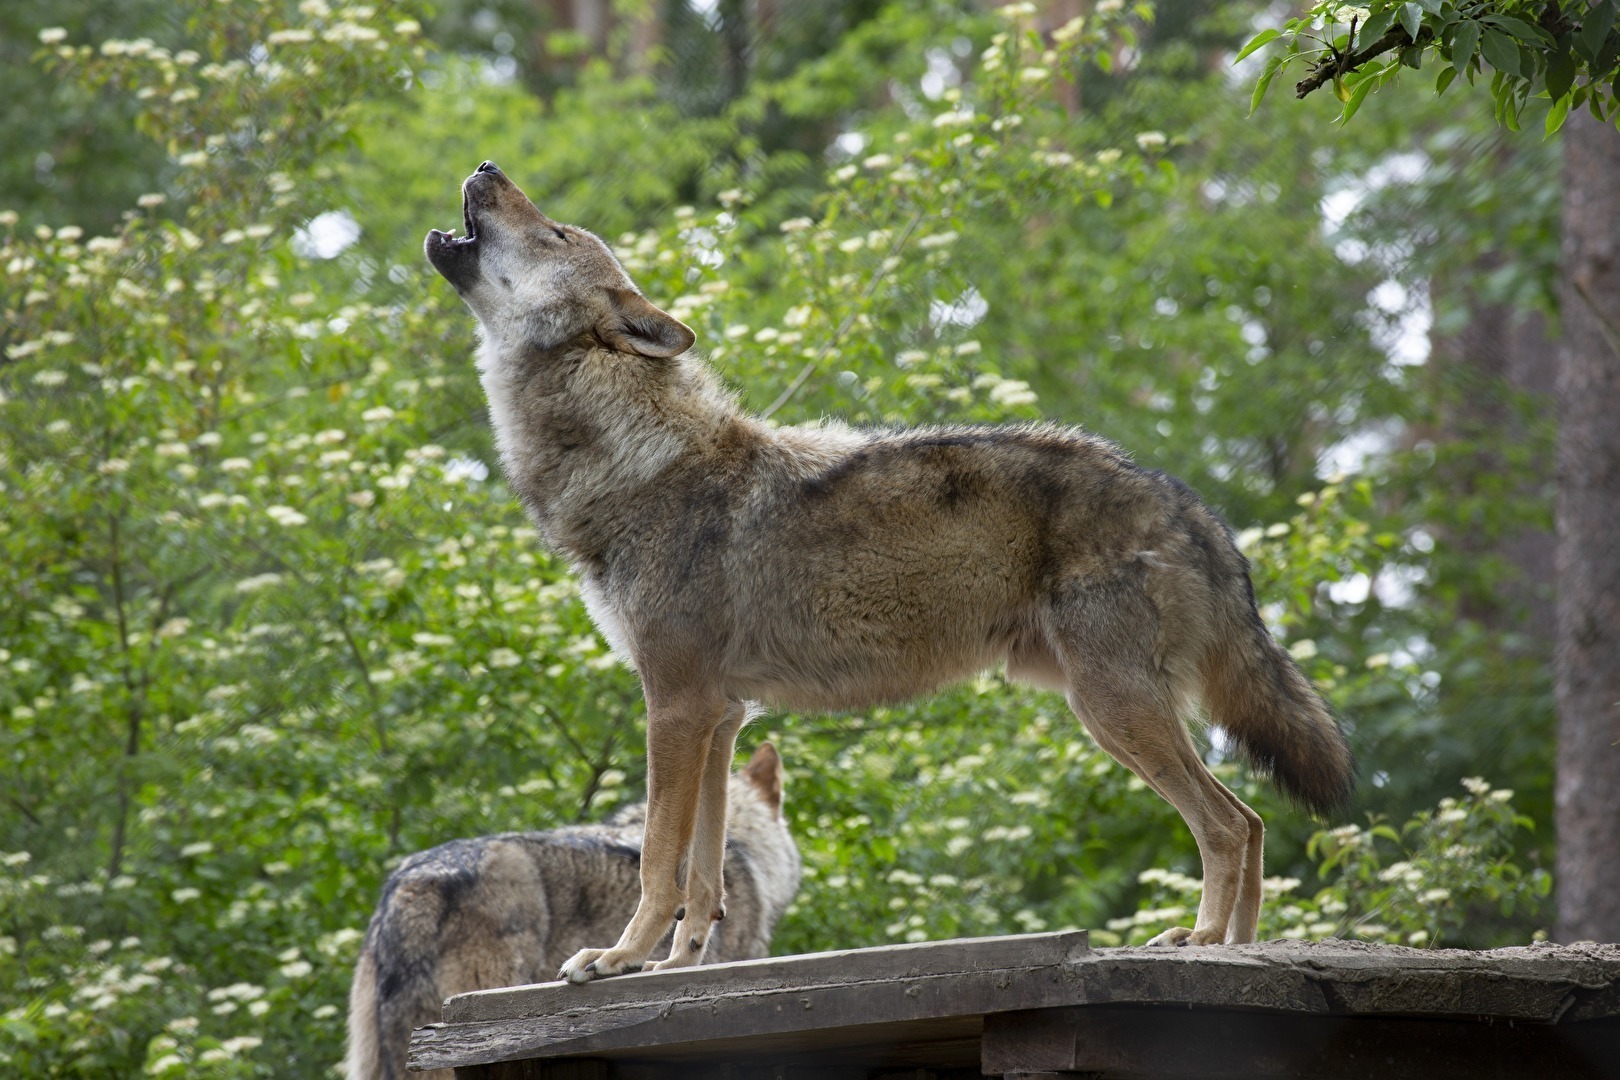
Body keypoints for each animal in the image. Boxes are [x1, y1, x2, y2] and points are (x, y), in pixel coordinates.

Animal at [424, 161, 1354, 981]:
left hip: (1111, 709)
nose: (486, 166)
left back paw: (1204, 944)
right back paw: (1234, 949)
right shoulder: (721, 719)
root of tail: (1189, 504)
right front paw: (674, 968)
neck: (635, 460)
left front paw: (616, 960)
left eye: (555, 233)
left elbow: (660, 861)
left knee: (1227, 825)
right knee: (1253, 823)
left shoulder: (676, 706)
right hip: (1115, 708)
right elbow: (703, 876)